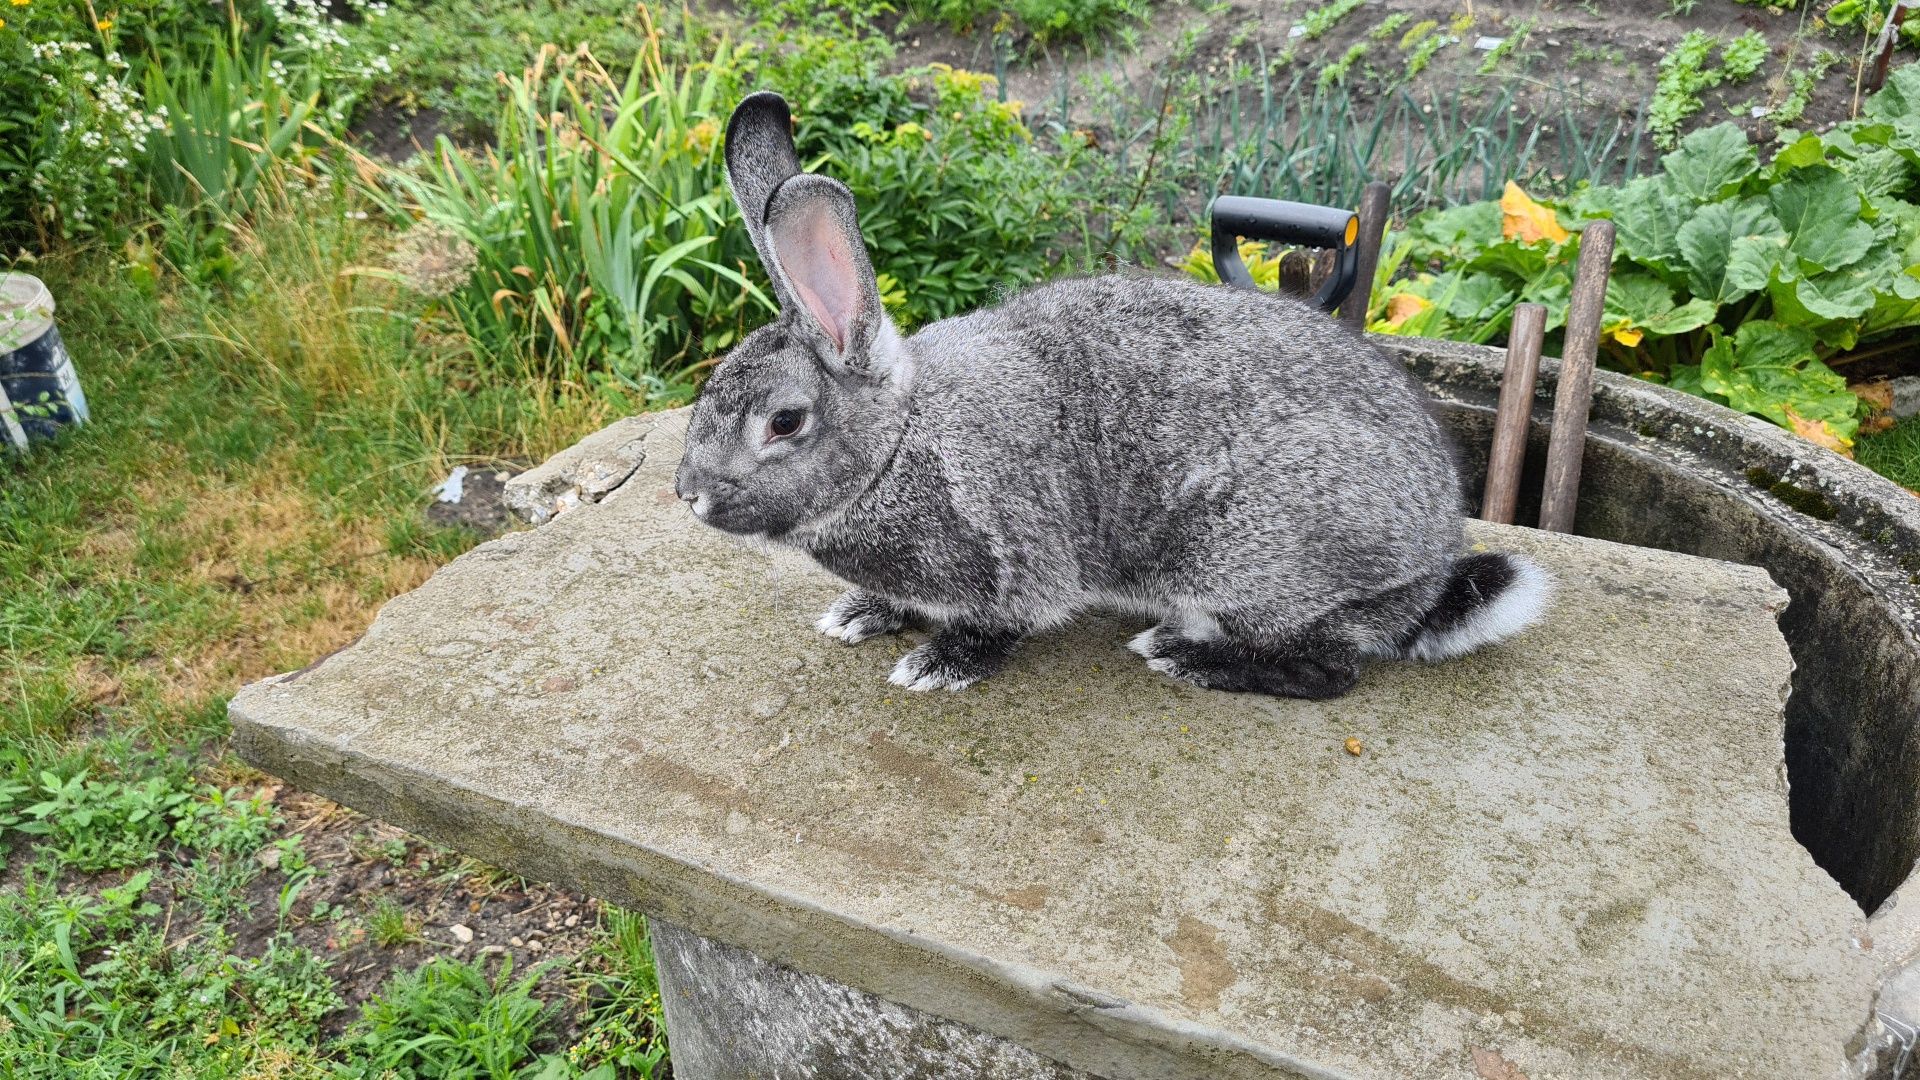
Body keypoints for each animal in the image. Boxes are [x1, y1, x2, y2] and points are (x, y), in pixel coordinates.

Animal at [668, 94, 1551, 699]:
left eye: (785, 421)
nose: (688, 494)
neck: (899, 445)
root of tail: (1425, 580)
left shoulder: (1016, 558)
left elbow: (1004, 622)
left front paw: (938, 664)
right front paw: (861, 614)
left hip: (1247, 560)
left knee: (1333, 668)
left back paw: (1184, 656)